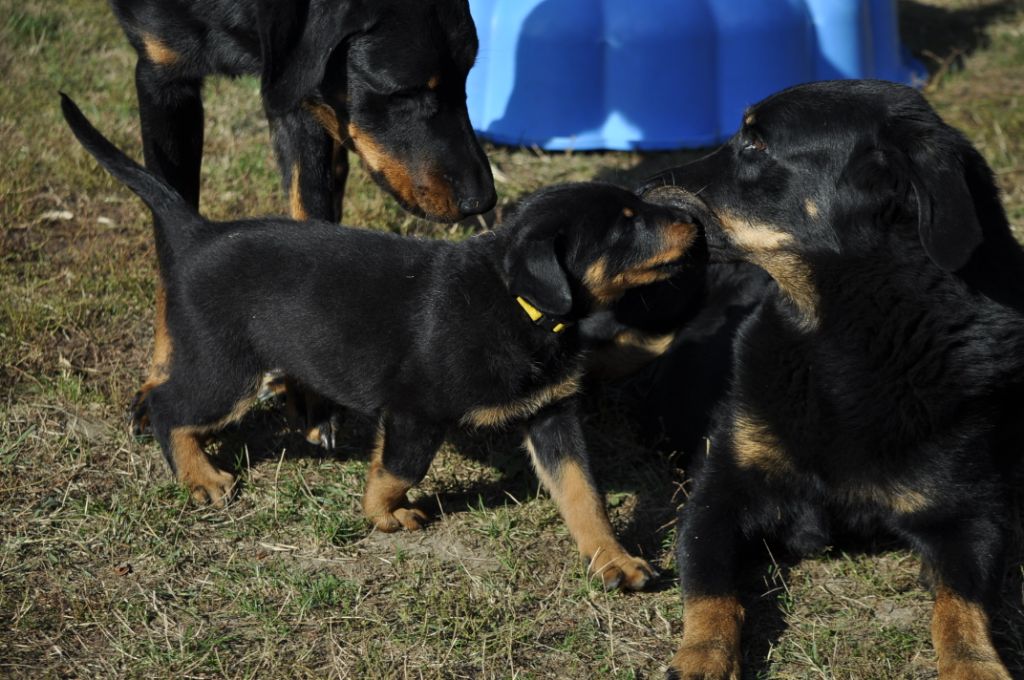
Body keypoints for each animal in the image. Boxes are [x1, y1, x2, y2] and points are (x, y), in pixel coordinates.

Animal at [61, 94, 704, 589]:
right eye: (625, 225)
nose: (696, 223)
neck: (521, 306)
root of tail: (199, 233)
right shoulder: (415, 412)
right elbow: (398, 470)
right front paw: (383, 517)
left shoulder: (552, 414)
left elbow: (583, 495)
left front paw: (614, 561)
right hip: (228, 368)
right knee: (170, 406)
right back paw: (200, 478)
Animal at [108, 1, 495, 430]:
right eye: (404, 92)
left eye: (467, 78)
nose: (483, 201)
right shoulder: (161, 74)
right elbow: (167, 233)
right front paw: (164, 376)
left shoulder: (302, 93)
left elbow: (309, 218)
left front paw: (311, 390)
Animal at [643, 80, 1024, 680]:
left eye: (755, 143)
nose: (638, 191)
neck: (845, 331)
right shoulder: (718, 490)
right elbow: (710, 591)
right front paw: (703, 657)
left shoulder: (973, 514)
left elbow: (961, 609)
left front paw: (976, 666)